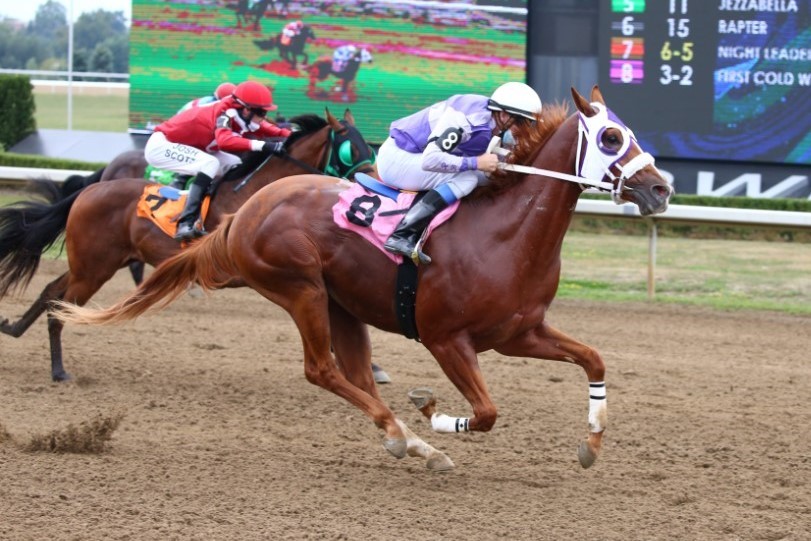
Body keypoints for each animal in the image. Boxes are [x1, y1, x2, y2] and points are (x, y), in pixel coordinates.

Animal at [0, 109, 376, 382]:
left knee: (52, 291)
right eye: (349, 150)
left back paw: (14, 329)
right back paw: (58, 370)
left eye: (370, 146)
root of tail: (88, 191)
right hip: (93, 268)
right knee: (61, 304)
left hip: (94, 264)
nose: (370, 185)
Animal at [52, 86, 672, 470]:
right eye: (611, 139)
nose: (662, 188)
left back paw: (413, 444)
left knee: (355, 376)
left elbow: (594, 360)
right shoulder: (447, 339)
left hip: (342, 304)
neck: (504, 236)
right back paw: (406, 437)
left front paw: (591, 445)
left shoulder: (520, 333)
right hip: (299, 287)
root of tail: (242, 214)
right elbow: (487, 413)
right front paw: (432, 411)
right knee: (321, 370)